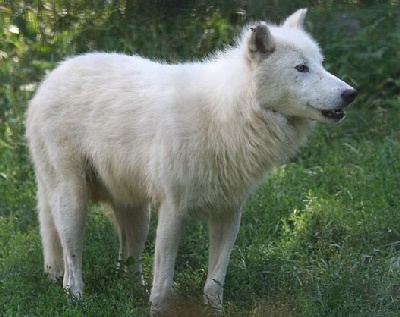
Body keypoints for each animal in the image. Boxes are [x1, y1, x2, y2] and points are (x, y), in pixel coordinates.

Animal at [25, 8, 356, 312]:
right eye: (301, 68)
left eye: (321, 64)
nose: (351, 93)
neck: (229, 115)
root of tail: (48, 79)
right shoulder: (173, 210)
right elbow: (163, 286)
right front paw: (158, 311)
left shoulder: (228, 213)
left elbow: (215, 281)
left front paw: (215, 310)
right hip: (73, 203)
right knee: (71, 265)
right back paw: (77, 299)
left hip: (138, 214)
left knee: (128, 262)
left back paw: (130, 292)